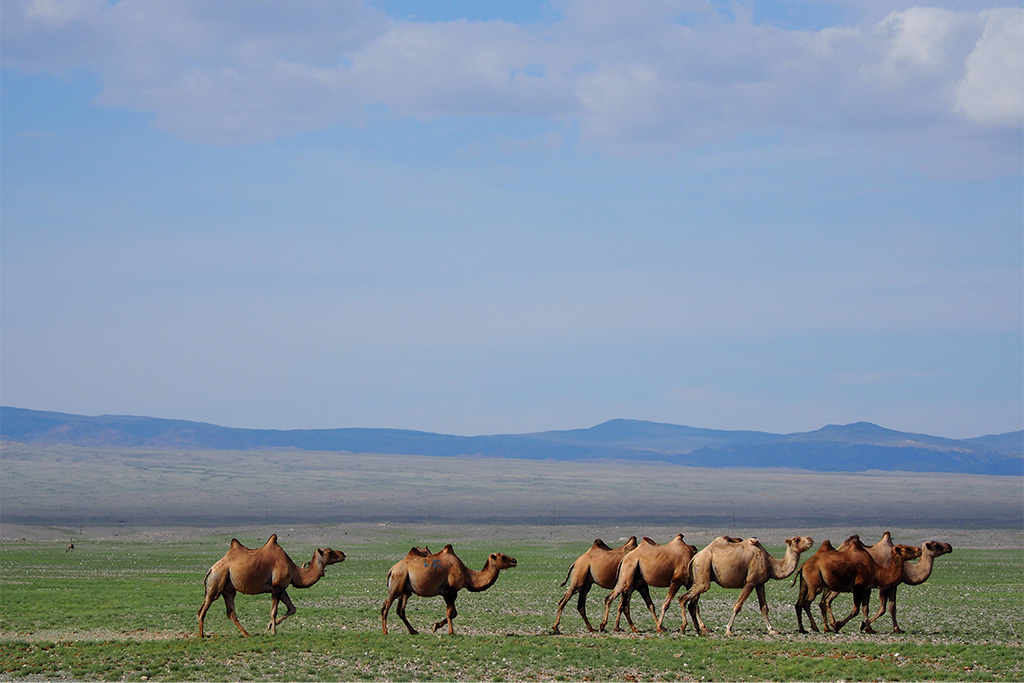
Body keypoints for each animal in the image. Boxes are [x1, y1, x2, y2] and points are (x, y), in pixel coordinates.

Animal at [195, 536, 348, 638]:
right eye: (330, 552)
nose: (343, 554)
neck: (295, 571)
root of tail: (211, 568)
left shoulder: (283, 588)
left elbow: (292, 608)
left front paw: (269, 626)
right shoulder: (276, 587)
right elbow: (273, 611)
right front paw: (273, 630)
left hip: (228, 590)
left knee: (231, 612)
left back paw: (246, 633)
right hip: (216, 582)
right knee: (203, 609)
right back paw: (202, 635)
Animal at [380, 544, 516, 634]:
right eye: (502, 557)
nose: (514, 560)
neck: (467, 575)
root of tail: (391, 569)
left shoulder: (448, 593)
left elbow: (453, 613)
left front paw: (436, 626)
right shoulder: (450, 591)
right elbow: (451, 613)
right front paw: (451, 632)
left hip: (405, 590)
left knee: (399, 610)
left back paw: (413, 631)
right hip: (397, 583)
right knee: (385, 608)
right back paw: (385, 632)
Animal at [679, 532, 815, 634]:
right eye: (797, 539)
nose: (811, 539)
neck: (770, 564)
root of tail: (695, 557)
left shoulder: (760, 583)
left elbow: (764, 607)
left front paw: (772, 630)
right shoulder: (750, 582)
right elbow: (737, 606)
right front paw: (729, 630)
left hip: (700, 578)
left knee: (692, 604)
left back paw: (699, 629)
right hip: (703, 571)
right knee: (683, 599)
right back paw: (684, 627)